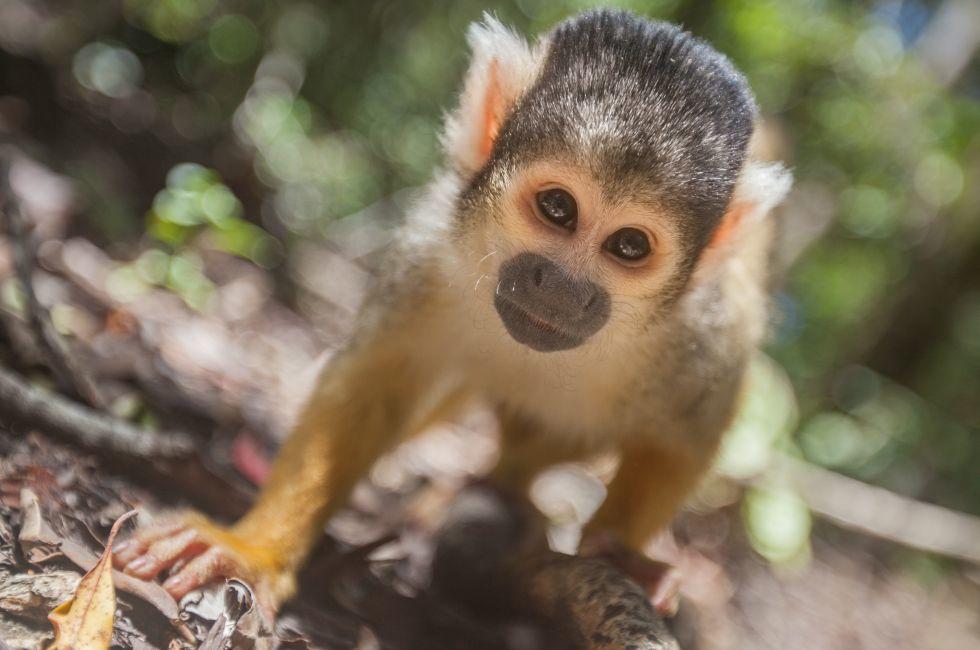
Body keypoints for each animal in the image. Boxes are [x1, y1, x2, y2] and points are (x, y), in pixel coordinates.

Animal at [113, 9, 791, 616]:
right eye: (557, 208)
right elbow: (371, 389)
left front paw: (617, 553)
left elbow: (682, 442)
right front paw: (252, 548)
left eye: (629, 246)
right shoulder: (429, 252)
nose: (561, 288)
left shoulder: (705, 335)